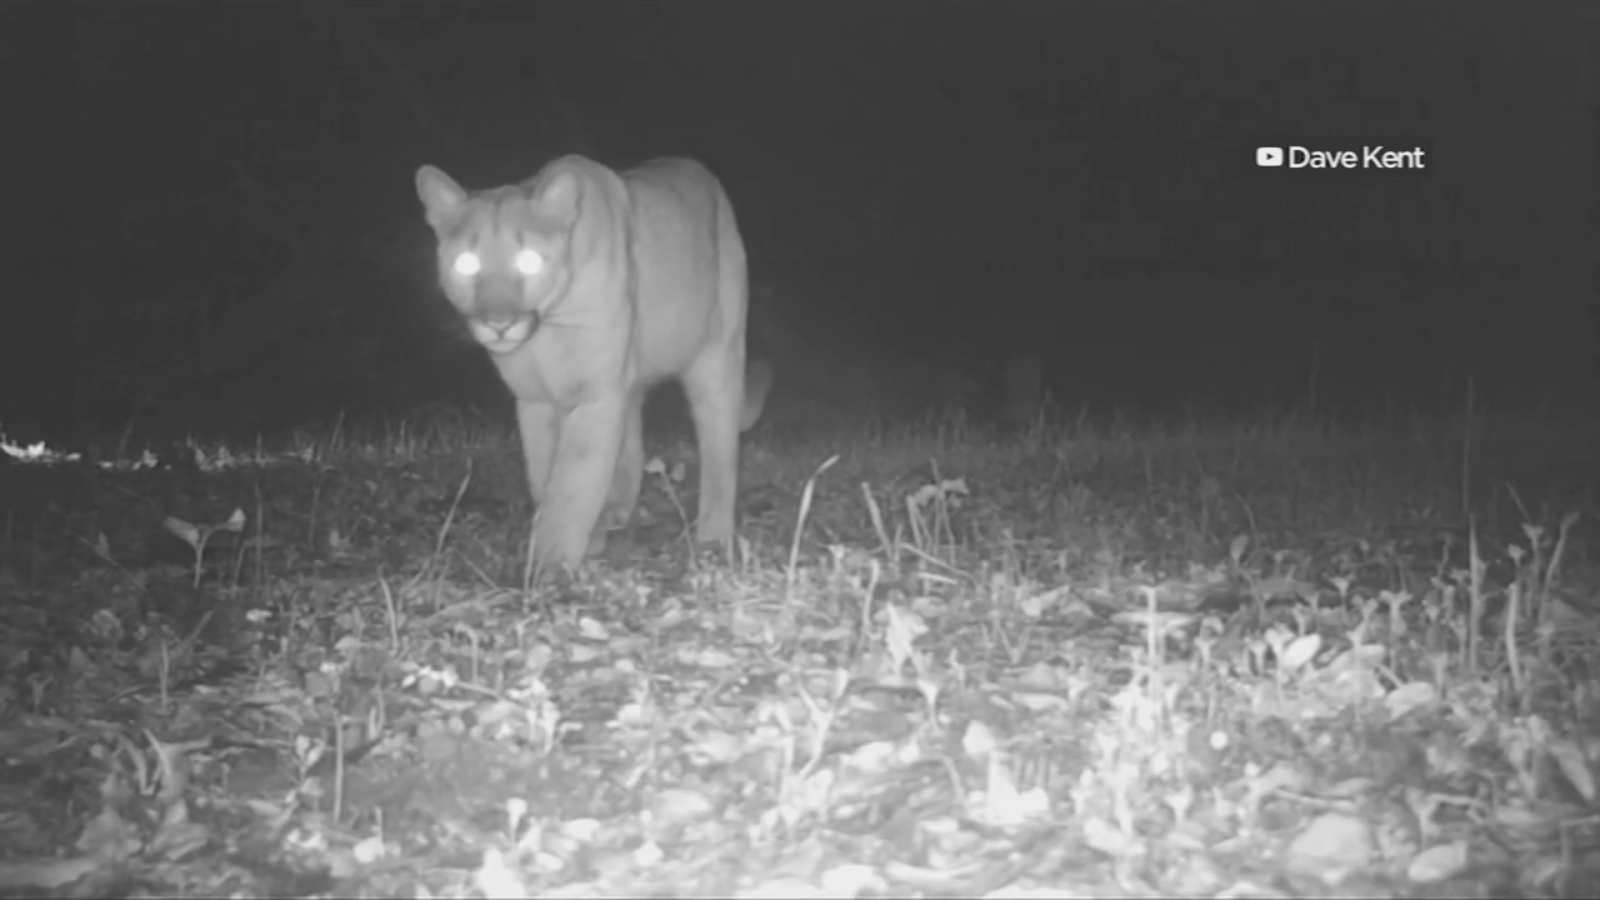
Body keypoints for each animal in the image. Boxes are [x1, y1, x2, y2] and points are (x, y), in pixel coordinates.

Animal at [415, 155, 770, 572]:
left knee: (719, 449)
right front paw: (581, 540)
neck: (546, 335)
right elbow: (545, 477)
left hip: (716, 357)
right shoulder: (535, 399)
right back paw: (615, 513)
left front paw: (550, 565)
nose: (498, 323)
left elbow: (572, 481)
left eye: (529, 261)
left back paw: (713, 538)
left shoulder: (595, 395)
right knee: (631, 437)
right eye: (466, 264)